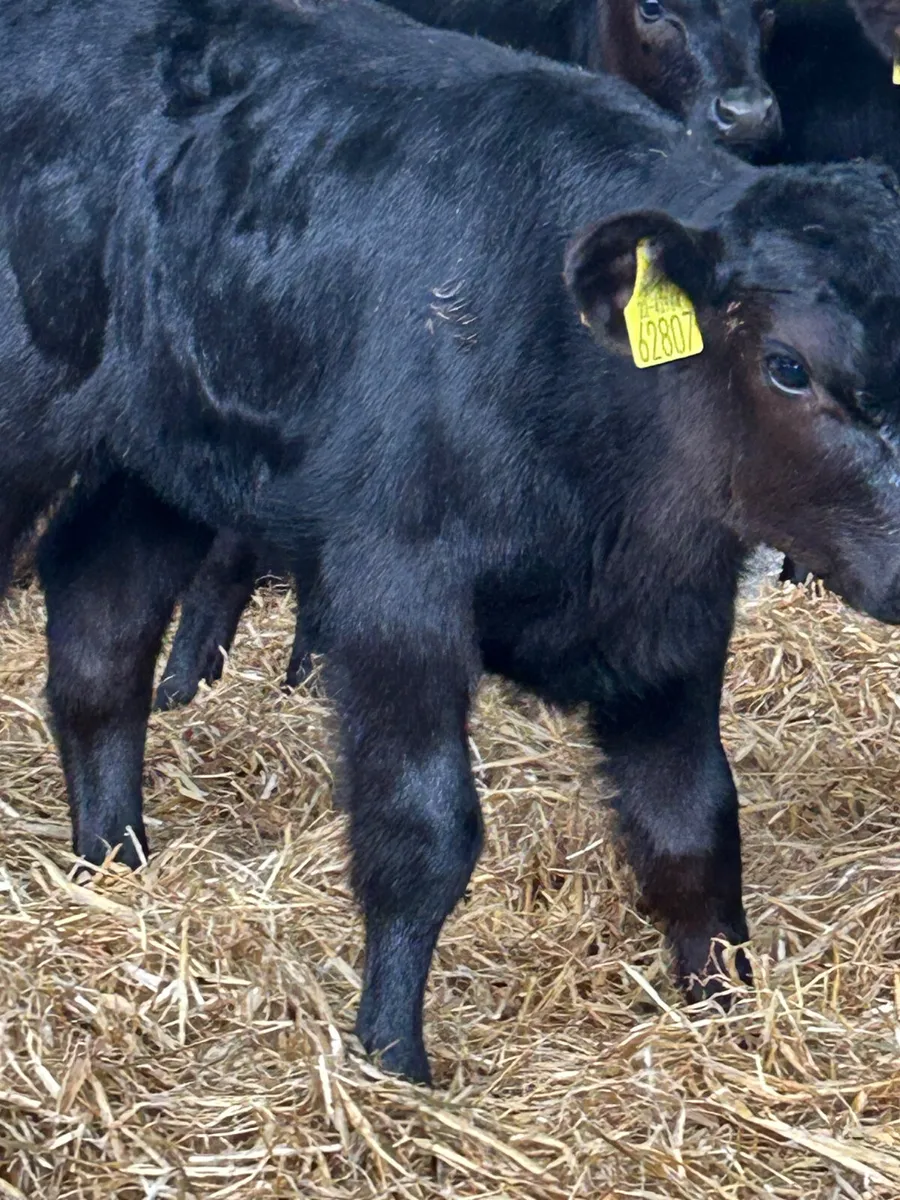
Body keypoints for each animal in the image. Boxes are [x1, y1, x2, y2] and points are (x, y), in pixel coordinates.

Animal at [5, 0, 900, 1085]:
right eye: (787, 366)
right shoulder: (395, 589)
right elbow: (423, 830)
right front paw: (393, 1060)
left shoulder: (676, 615)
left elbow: (692, 827)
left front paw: (728, 1022)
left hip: (157, 450)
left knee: (102, 617)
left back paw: (114, 859)